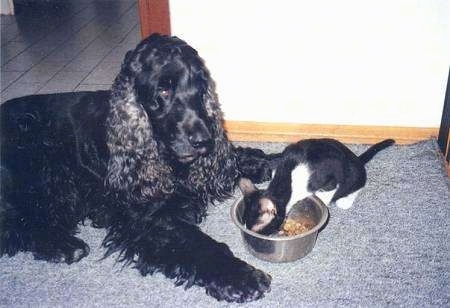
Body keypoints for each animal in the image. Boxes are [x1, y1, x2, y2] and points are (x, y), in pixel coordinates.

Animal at [0, 33, 274, 304]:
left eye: (199, 88)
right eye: (164, 89)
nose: (203, 141)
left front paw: (260, 162)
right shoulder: (148, 217)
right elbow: (197, 242)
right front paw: (240, 275)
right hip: (43, 163)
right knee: (18, 220)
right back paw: (63, 245)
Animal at [239, 138, 394, 235]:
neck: (288, 177)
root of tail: (357, 159)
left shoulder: (329, 181)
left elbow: (323, 197)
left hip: (354, 174)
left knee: (358, 184)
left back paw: (346, 200)